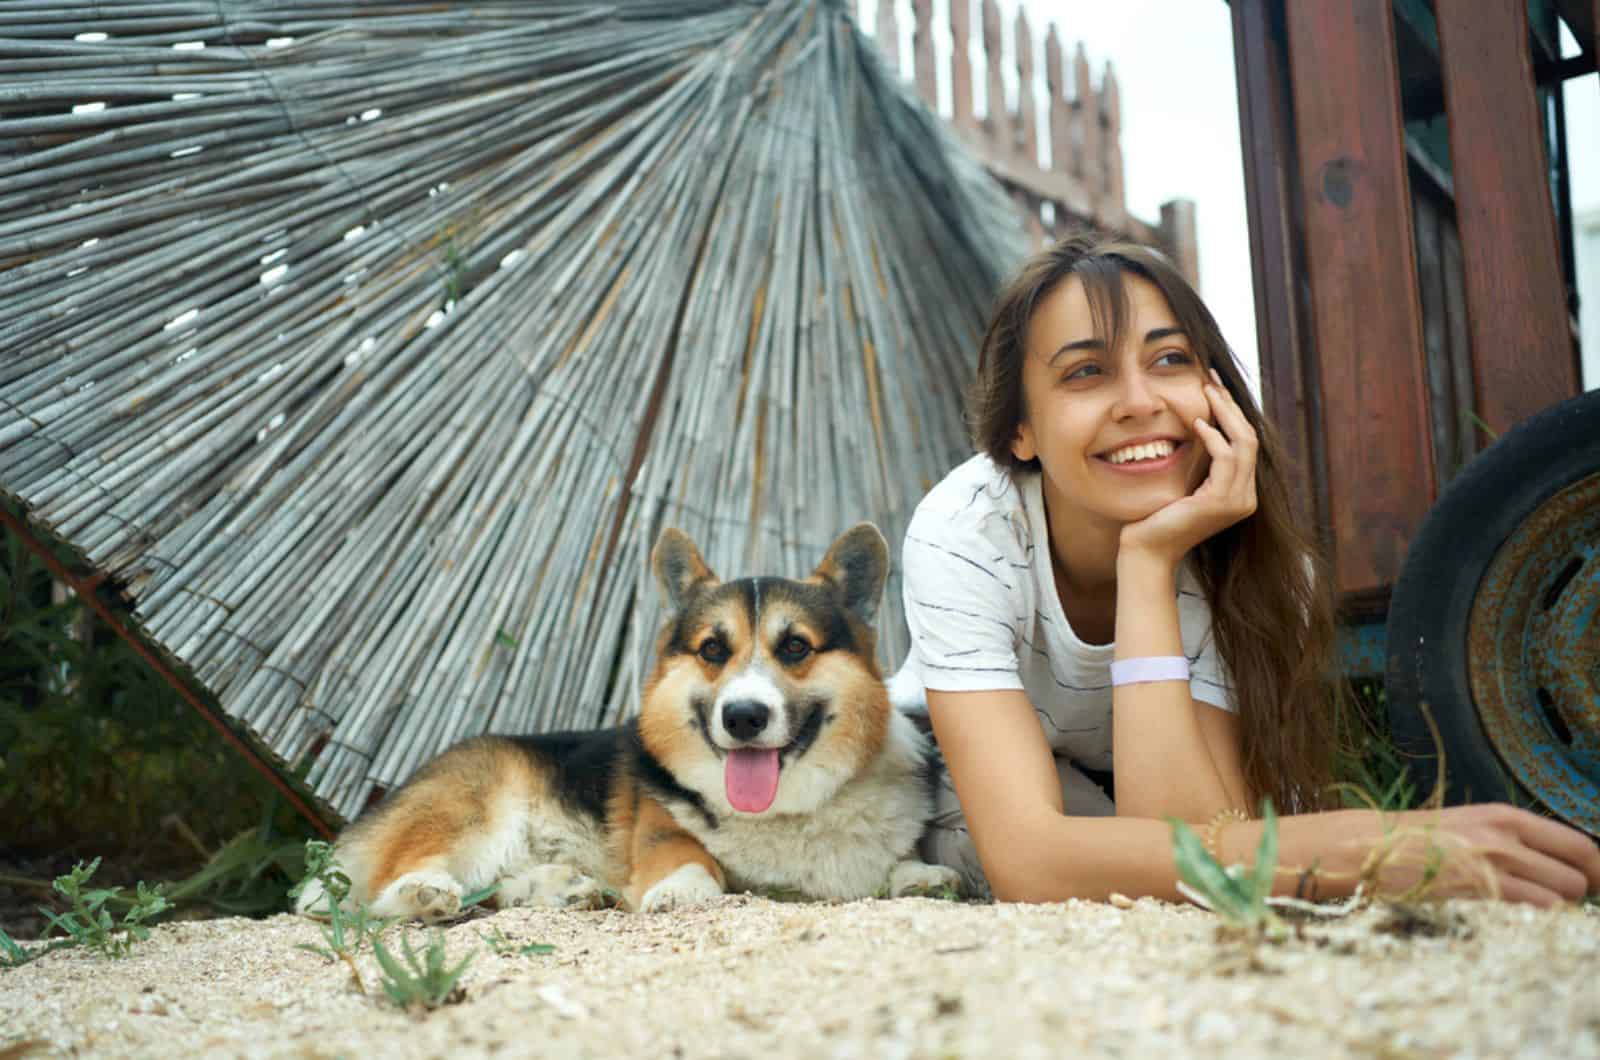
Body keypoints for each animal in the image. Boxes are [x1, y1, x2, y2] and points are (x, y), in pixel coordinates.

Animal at [294, 525, 953, 922]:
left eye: (795, 647)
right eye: (712, 649)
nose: (743, 717)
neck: (786, 812)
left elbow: (900, 867)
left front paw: (921, 875)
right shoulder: (663, 833)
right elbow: (694, 859)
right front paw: (682, 889)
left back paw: (559, 889)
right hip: (475, 807)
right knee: (382, 890)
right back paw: (424, 893)